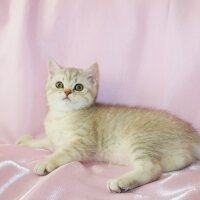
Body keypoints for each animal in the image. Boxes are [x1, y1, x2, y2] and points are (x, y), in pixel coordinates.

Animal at [16, 58, 200, 193]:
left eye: (78, 87)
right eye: (59, 84)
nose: (67, 92)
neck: (61, 116)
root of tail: (190, 131)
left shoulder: (82, 144)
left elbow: (60, 153)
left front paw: (46, 162)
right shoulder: (54, 140)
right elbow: (43, 141)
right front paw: (25, 140)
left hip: (140, 140)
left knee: (153, 169)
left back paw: (121, 182)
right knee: (177, 162)